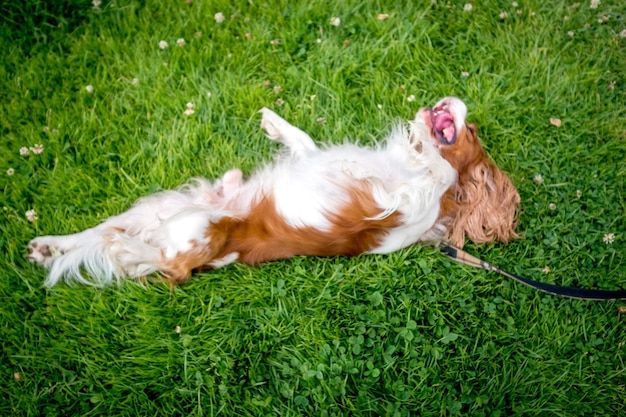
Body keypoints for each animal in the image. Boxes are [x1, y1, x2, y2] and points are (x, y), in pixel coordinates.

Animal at [28, 97, 516, 286]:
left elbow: (441, 174)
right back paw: (48, 246)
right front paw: (276, 122)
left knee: (169, 262)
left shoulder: (403, 207)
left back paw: (126, 252)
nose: (455, 101)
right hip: (161, 209)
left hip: (198, 226)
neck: (403, 164)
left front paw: (425, 147)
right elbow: (305, 142)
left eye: (471, 131)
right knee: (98, 233)